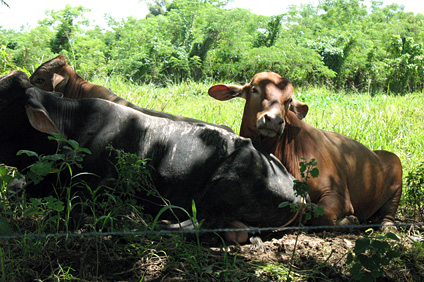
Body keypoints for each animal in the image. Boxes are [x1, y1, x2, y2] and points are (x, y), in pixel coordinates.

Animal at [0, 70, 304, 242]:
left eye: (4, 99)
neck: (70, 125)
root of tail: (296, 188)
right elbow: (15, 187)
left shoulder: (101, 189)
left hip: (219, 190)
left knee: (198, 225)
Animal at [210, 71, 402, 228]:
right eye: (254, 89)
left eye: (288, 101)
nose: (273, 120)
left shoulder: (338, 194)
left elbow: (323, 216)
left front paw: (352, 220)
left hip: (396, 177)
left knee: (388, 214)